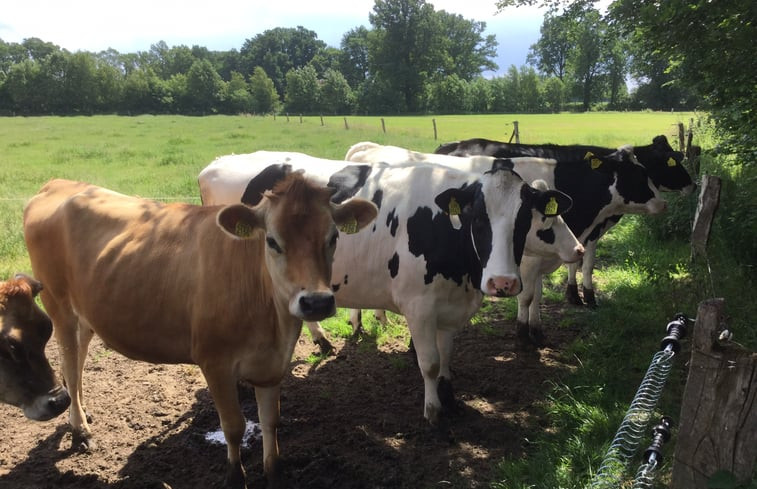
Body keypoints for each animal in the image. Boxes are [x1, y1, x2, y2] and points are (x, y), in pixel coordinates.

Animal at [23, 173, 378, 486]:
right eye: (272, 241)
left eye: (333, 238)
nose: (316, 302)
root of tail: (58, 184)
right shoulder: (214, 361)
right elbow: (234, 426)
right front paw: (235, 478)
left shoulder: (272, 365)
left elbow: (271, 421)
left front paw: (275, 473)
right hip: (58, 305)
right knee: (70, 364)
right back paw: (80, 430)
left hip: (86, 313)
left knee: (78, 361)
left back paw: (82, 413)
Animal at [198, 151, 576, 426]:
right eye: (477, 218)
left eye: (524, 219)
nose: (503, 282)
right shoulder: (419, 306)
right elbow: (429, 362)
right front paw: (433, 411)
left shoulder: (451, 305)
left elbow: (447, 356)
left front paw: (450, 397)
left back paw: (322, 341)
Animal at [346, 142, 664, 344]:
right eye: (636, 173)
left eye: (646, 169)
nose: (663, 203)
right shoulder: (526, 262)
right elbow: (527, 296)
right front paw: (523, 334)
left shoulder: (539, 258)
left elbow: (538, 294)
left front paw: (537, 330)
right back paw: (357, 323)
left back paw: (379, 318)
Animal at [432, 135, 692, 306]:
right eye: (636, 174)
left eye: (645, 170)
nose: (693, 184)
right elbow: (582, 264)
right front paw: (584, 297)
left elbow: (578, 262)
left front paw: (577, 295)